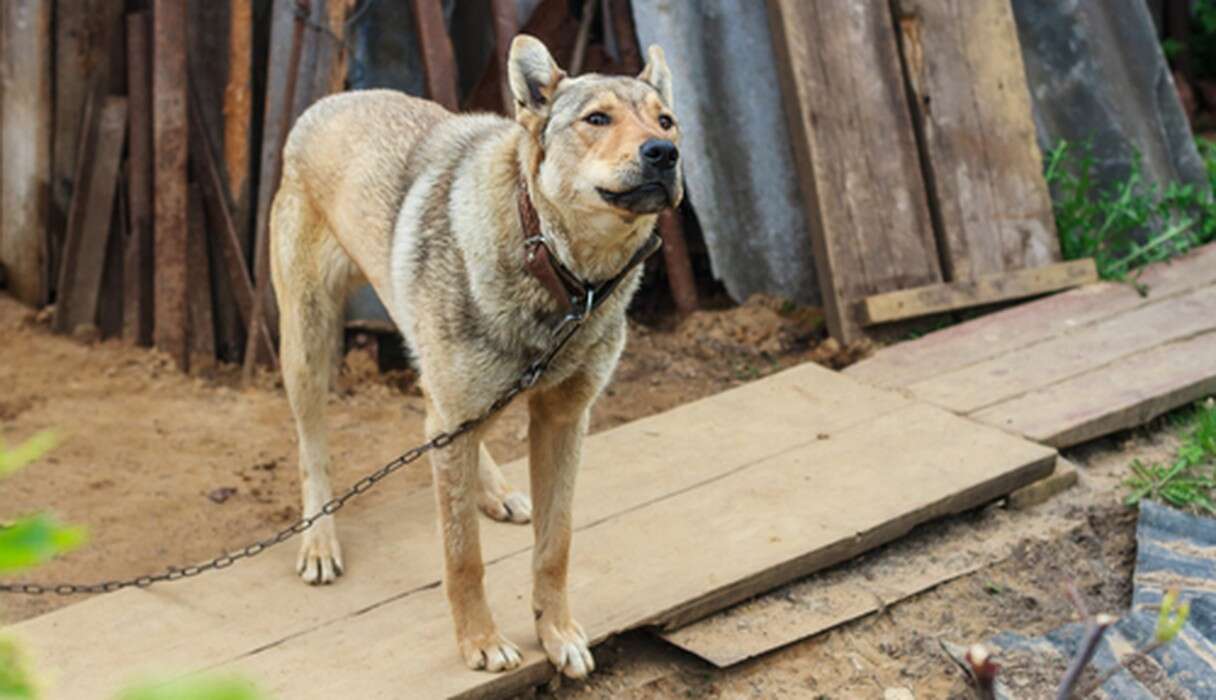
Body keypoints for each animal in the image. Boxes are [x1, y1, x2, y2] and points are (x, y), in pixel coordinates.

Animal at [268, 34, 685, 680]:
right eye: (597, 119)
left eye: (666, 121)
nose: (665, 153)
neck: (562, 274)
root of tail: (333, 100)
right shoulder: (463, 425)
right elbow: (463, 556)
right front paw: (480, 643)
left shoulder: (565, 420)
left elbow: (556, 544)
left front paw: (557, 633)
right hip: (310, 349)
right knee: (314, 448)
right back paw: (319, 543)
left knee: (436, 414)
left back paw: (495, 490)